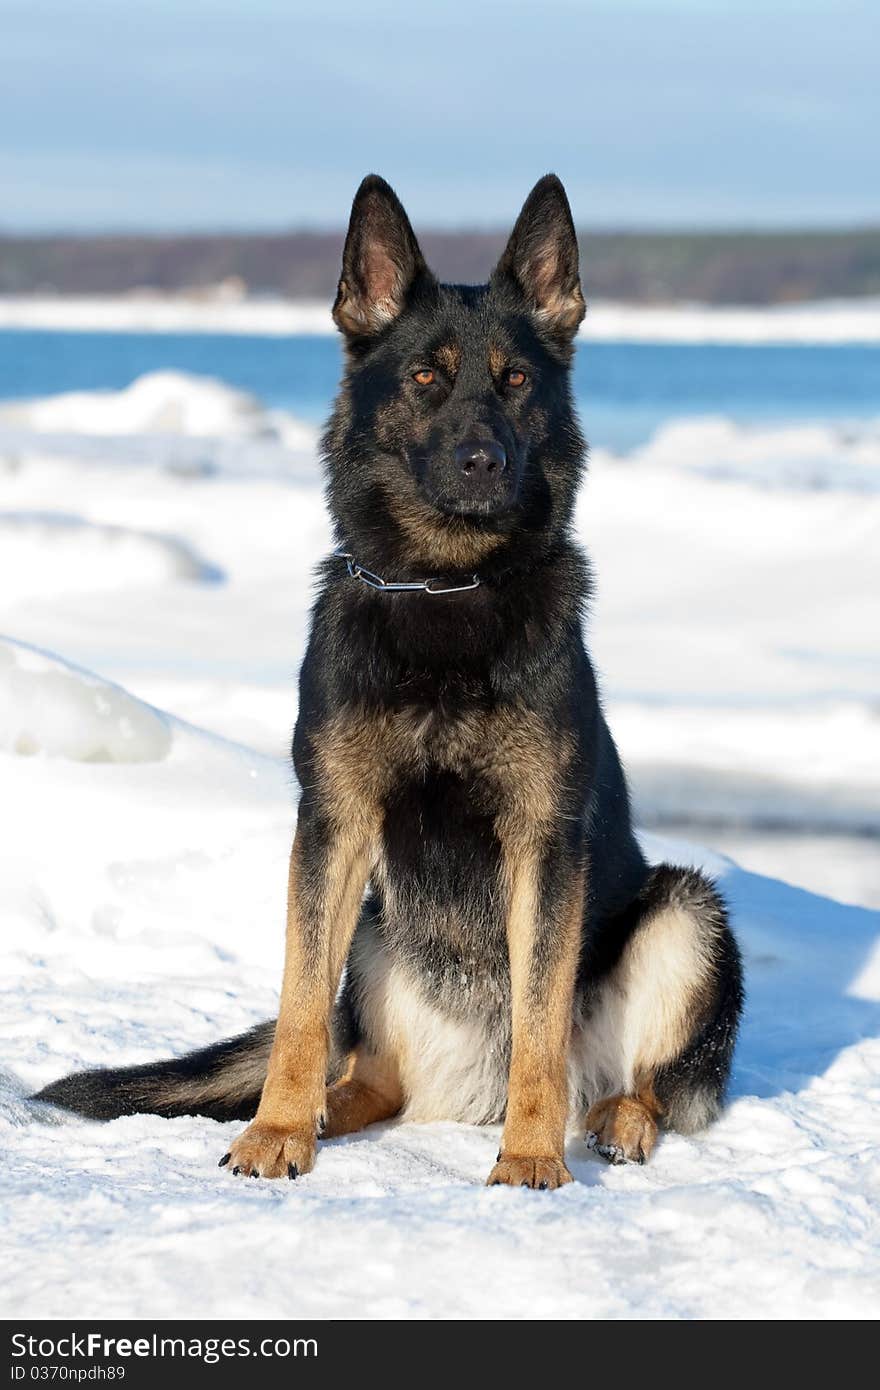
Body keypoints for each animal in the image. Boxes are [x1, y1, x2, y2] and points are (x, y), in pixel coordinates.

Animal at [39, 179, 739, 1189]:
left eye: (516, 382)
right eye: (425, 379)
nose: (485, 461)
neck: (445, 585)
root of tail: (464, 1088)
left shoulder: (543, 842)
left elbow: (538, 1028)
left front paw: (531, 1157)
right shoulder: (332, 826)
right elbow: (299, 1008)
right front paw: (274, 1132)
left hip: (686, 915)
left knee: (639, 1078)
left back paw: (614, 1123)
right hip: (375, 928)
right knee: (368, 1070)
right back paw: (324, 1111)